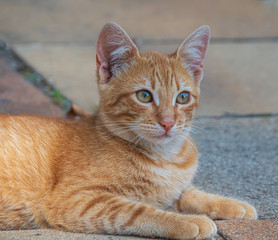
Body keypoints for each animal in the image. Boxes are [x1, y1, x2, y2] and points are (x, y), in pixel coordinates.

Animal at [0, 23, 256, 240]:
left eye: (183, 97)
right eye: (144, 95)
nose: (168, 123)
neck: (165, 157)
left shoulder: (173, 189)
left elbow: (190, 193)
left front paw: (232, 204)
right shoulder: (76, 200)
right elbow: (138, 211)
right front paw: (189, 221)